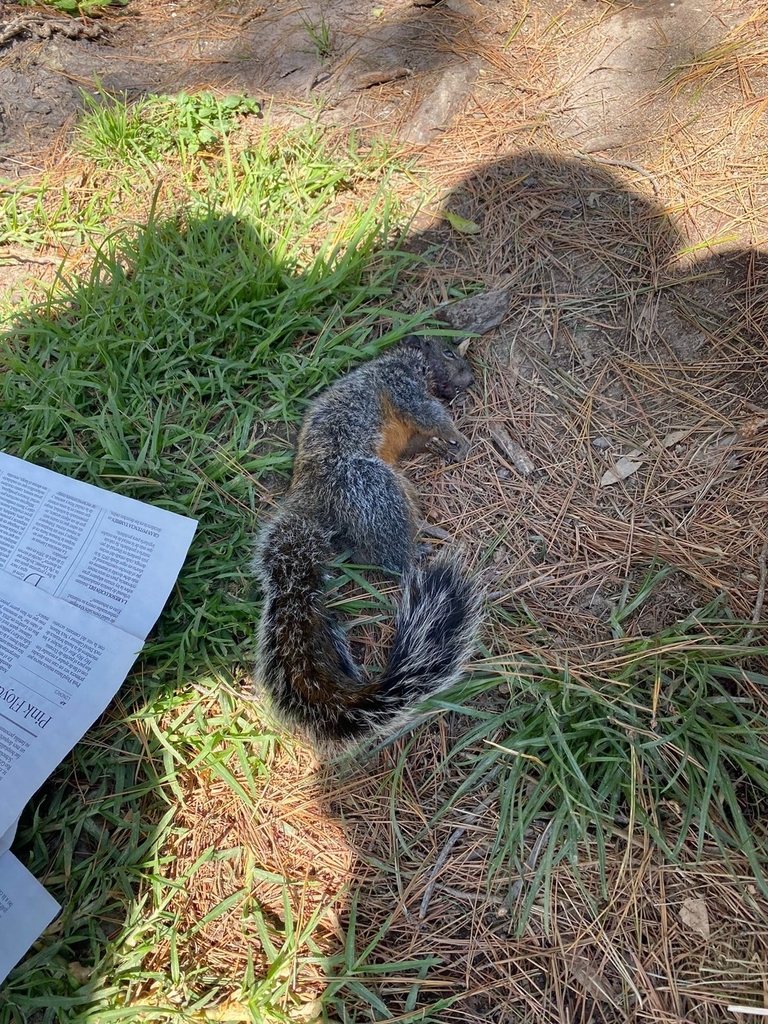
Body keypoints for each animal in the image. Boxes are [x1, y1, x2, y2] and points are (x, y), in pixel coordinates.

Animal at [252, 339, 481, 749]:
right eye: (449, 354)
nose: (469, 379)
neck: (409, 362)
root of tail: (309, 498)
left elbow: (420, 439)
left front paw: (439, 446)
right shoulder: (402, 387)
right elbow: (430, 413)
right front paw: (456, 434)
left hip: (387, 489)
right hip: (371, 485)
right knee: (391, 559)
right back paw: (418, 550)